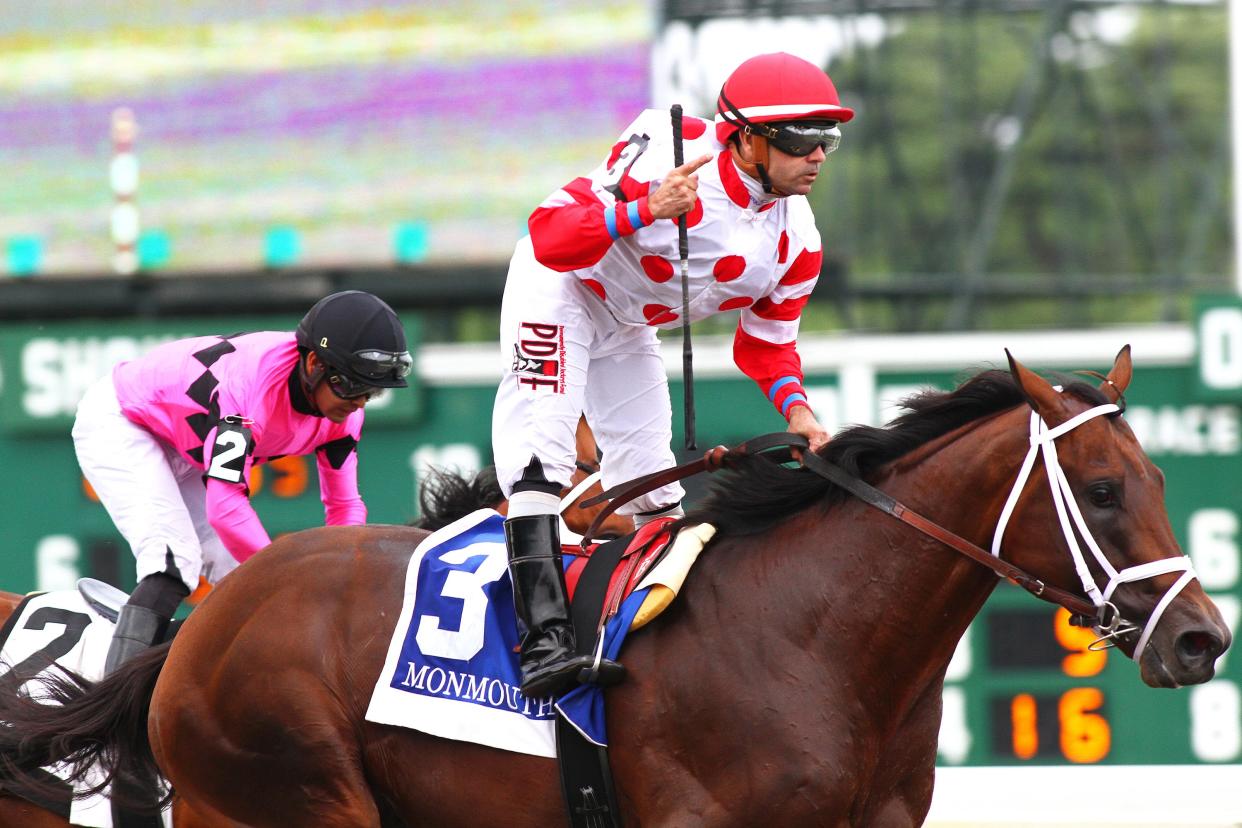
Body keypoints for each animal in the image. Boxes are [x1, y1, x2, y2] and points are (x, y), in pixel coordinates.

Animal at [0, 352, 1227, 828]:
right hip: (290, 797)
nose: (1203, 640)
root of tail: (198, 635)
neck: (817, 639)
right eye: (1104, 489)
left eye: (1164, 480)